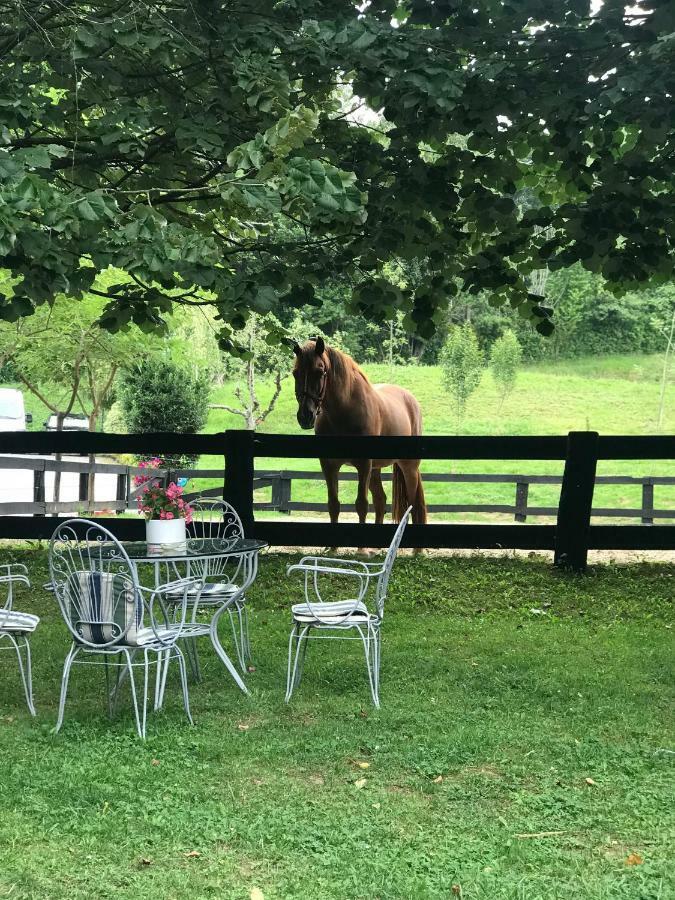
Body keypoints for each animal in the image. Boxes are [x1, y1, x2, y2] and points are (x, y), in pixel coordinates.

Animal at [292, 342, 428, 532]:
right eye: (295, 373)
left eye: (319, 371)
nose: (305, 416)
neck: (344, 411)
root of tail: (411, 400)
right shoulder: (329, 465)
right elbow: (333, 505)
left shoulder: (363, 464)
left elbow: (361, 505)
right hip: (375, 468)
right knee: (380, 501)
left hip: (409, 467)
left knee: (414, 504)